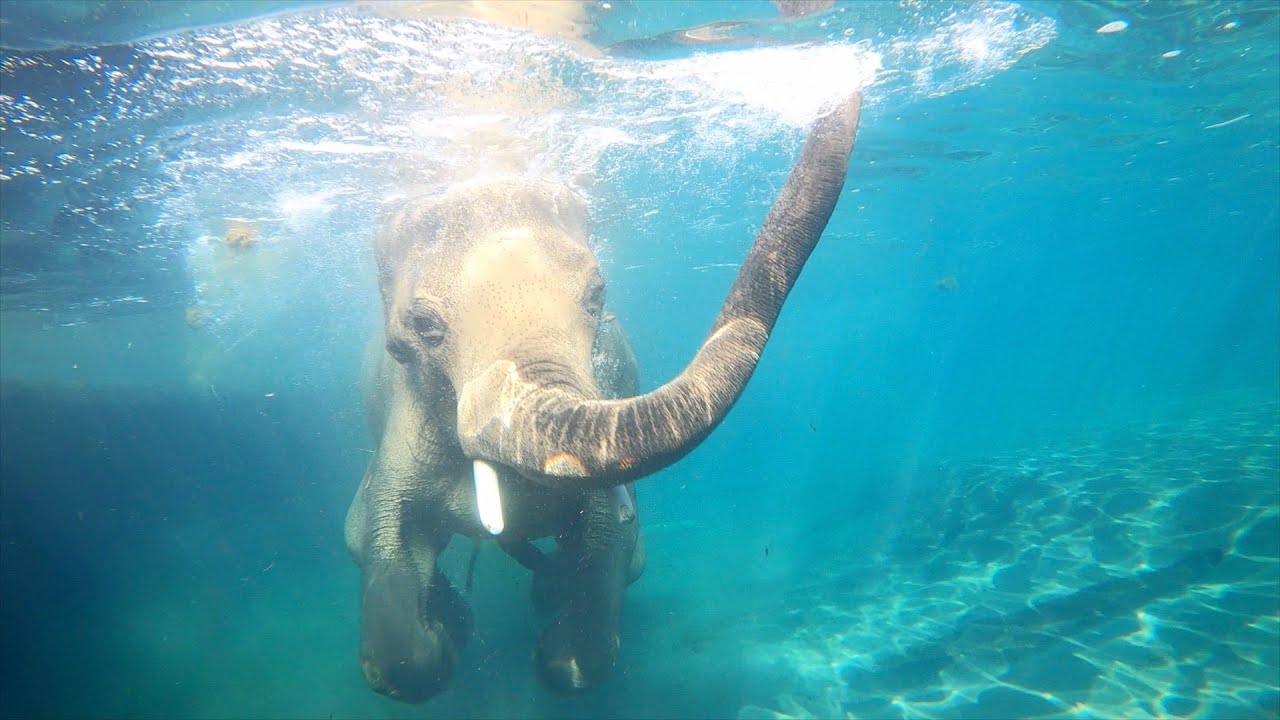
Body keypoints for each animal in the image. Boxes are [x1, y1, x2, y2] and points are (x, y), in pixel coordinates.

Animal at [343, 91, 863, 702]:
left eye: (598, 296)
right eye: (421, 327)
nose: (847, 94)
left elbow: (606, 547)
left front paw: (557, 646)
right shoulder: (406, 421)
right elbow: (388, 548)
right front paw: (446, 636)